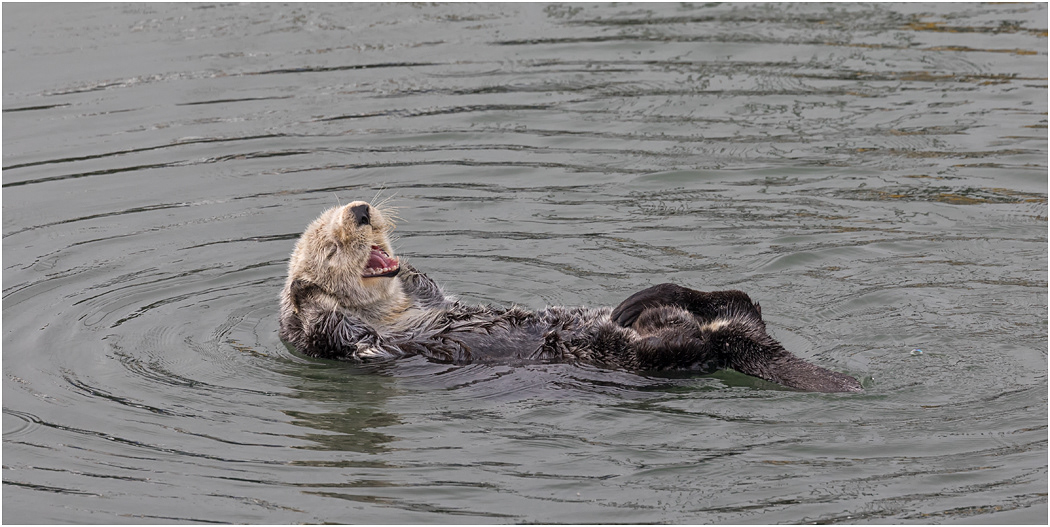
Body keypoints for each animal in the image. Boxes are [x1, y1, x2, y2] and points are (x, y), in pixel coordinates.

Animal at [279, 201, 862, 393]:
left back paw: (655, 297)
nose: (360, 211)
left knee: (737, 301)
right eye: (330, 246)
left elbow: (432, 287)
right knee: (694, 341)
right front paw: (309, 294)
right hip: (642, 355)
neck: (393, 310)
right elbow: (331, 329)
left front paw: (415, 267)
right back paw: (656, 313)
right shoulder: (338, 344)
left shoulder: (427, 298)